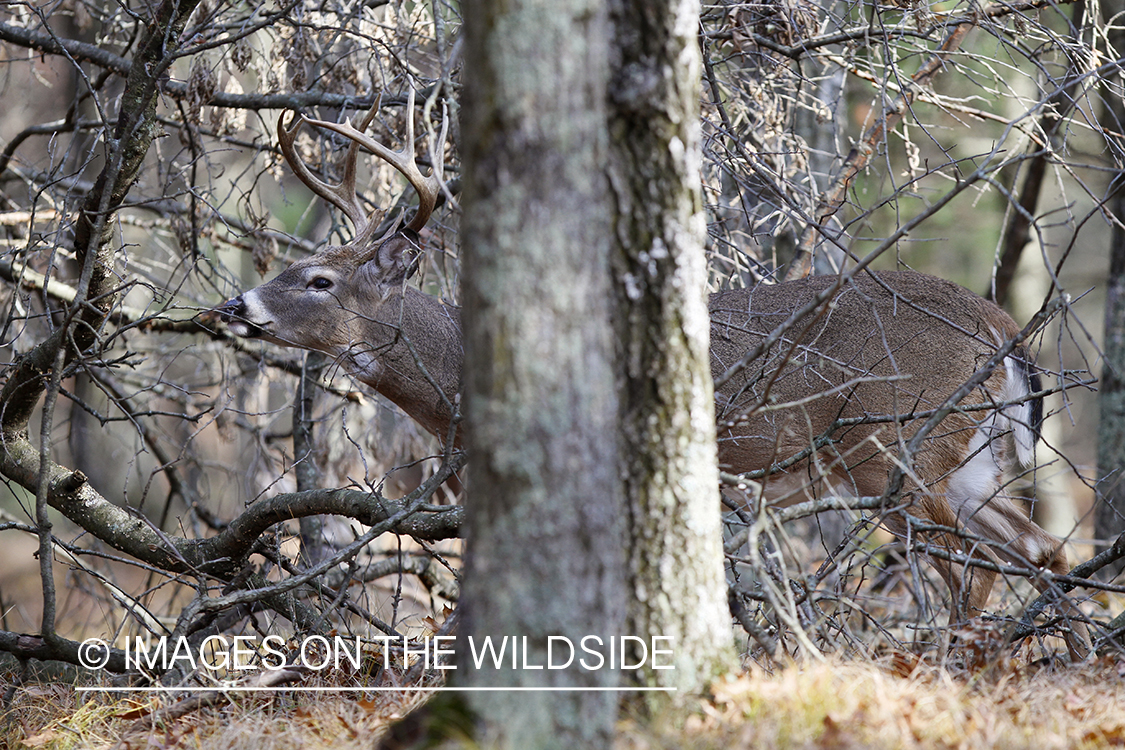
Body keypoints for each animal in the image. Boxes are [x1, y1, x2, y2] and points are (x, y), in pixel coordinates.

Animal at [219, 92, 1089, 656]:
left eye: (318, 279)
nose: (234, 303)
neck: (453, 393)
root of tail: (1003, 329)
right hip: (962, 461)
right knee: (1041, 547)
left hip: (896, 447)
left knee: (974, 568)